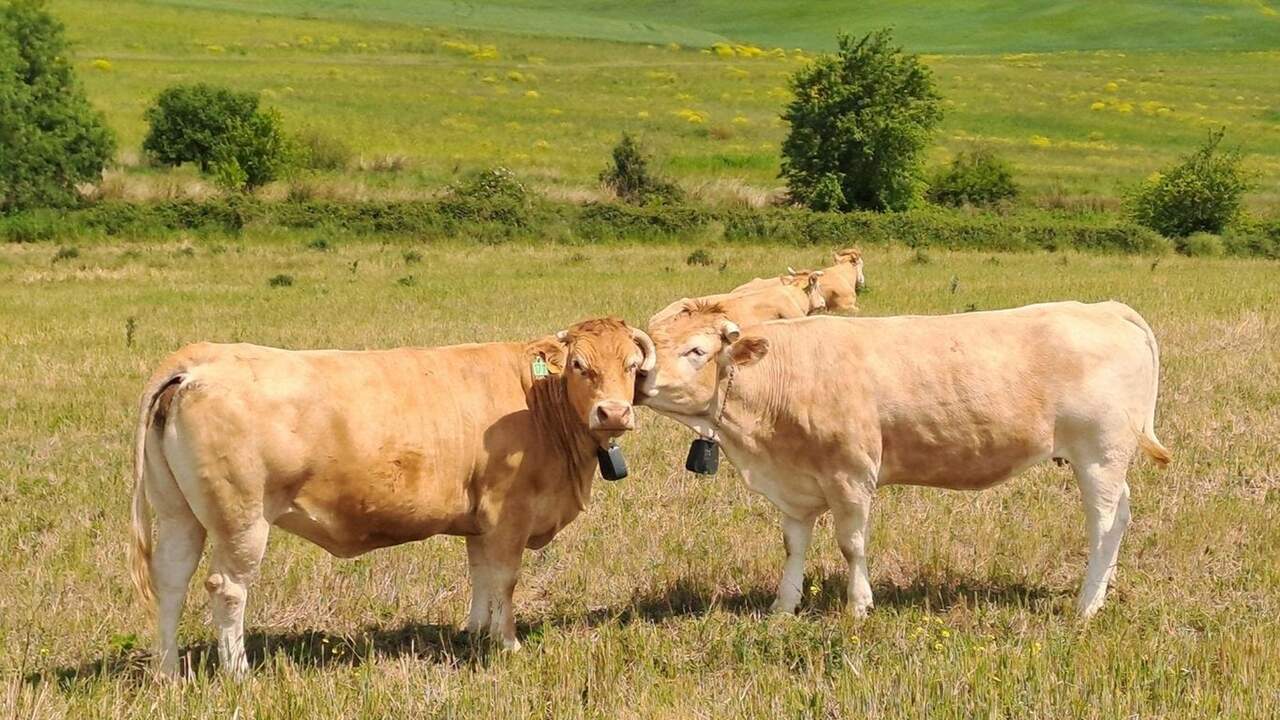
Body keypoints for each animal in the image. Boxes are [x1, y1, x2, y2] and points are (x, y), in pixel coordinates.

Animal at [129, 318, 655, 676]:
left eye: (632, 367)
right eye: (580, 367)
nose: (613, 413)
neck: (537, 400)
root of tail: (199, 359)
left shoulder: (481, 519)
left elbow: (481, 575)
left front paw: (474, 634)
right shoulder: (510, 513)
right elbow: (504, 580)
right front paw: (507, 645)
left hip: (177, 514)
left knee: (170, 582)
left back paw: (167, 672)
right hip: (241, 520)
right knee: (227, 589)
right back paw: (238, 672)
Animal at [641, 300, 1170, 619]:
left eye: (696, 350)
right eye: (650, 339)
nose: (641, 376)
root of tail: (1103, 307)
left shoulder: (851, 474)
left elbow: (851, 545)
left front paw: (858, 607)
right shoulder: (794, 485)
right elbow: (793, 547)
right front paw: (782, 609)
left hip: (1100, 455)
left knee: (1104, 522)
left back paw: (1086, 604)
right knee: (1121, 518)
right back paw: (1105, 589)